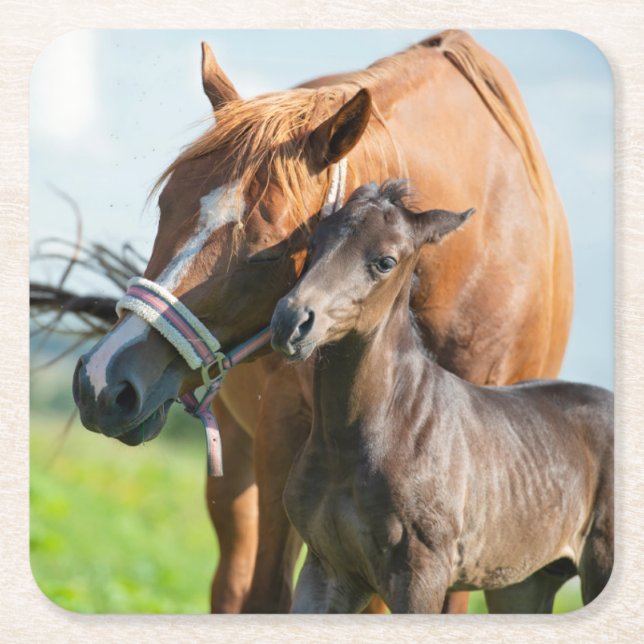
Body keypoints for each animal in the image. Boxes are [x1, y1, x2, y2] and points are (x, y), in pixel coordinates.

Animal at [270, 180, 613, 613]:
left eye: (385, 261)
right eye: (313, 243)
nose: (291, 322)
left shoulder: (422, 574)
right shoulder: (327, 571)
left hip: (601, 566)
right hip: (524, 584)